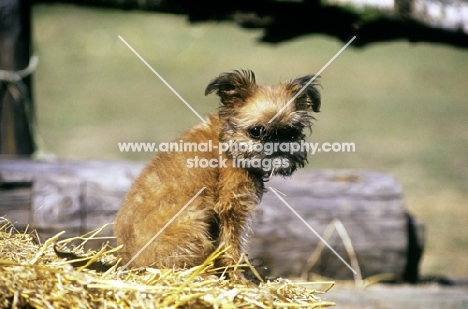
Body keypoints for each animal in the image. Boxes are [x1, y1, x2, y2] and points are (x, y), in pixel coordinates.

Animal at [114, 69, 322, 272]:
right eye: (256, 131)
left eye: (293, 132)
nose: (279, 145)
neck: (227, 140)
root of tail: (129, 262)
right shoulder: (233, 205)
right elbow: (232, 244)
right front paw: (238, 274)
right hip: (194, 225)